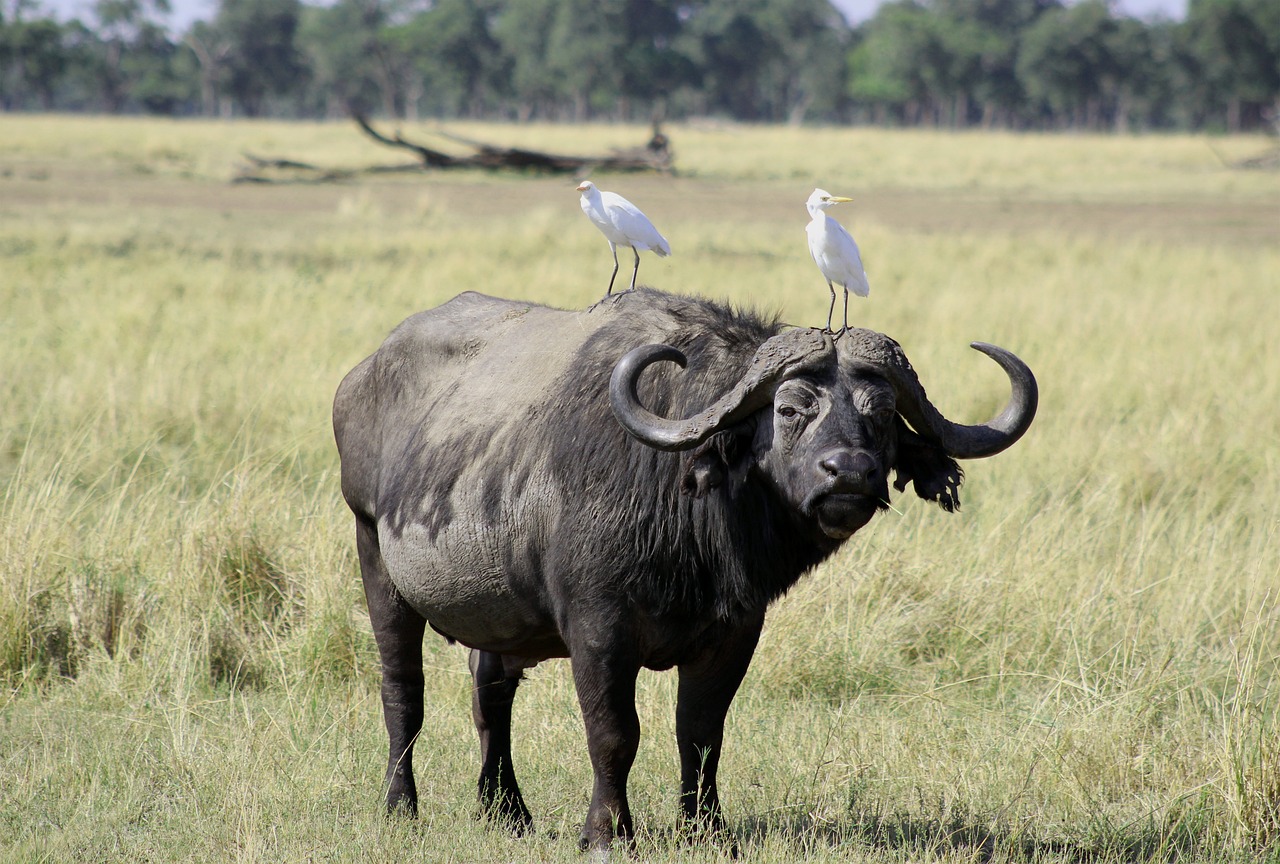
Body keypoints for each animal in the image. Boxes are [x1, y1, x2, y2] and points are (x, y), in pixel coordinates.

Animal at [335, 289, 1034, 849]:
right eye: (789, 409)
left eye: (882, 413)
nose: (850, 474)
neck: (684, 507)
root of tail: (362, 376)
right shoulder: (599, 628)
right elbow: (614, 732)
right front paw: (607, 832)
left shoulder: (735, 632)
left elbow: (700, 733)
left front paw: (706, 829)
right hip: (377, 560)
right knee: (403, 692)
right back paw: (401, 806)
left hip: (501, 617)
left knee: (490, 698)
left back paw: (506, 811)